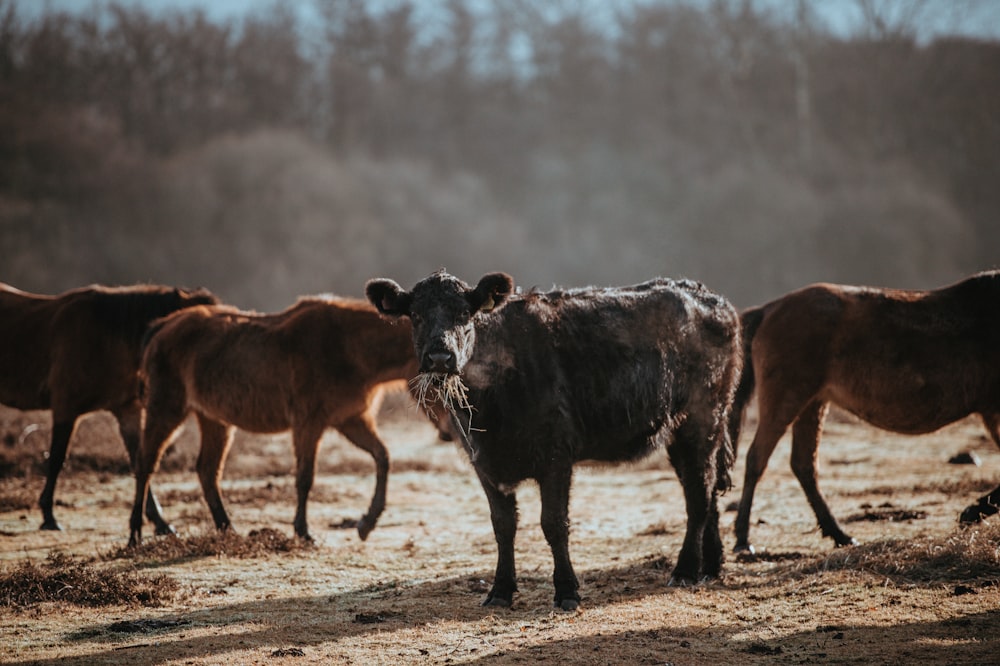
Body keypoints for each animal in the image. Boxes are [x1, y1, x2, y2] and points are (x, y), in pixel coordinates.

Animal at [0, 280, 219, 528]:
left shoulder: (128, 412)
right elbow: (56, 459)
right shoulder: (65, 408)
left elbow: (138, 459)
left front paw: (159, 521)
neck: (105, 339)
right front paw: (49, 516)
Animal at [127, 296, 448, 544]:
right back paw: (137, 534)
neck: (347, 347)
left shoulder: (351, 420)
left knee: (207, 471)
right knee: (145, 465)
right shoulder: (308, 423)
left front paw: (366, 523)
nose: (448, 429)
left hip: (213, 419)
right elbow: (305, 477)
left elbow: (382, 457)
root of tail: (162, 326)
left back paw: (227, 529)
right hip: (166, 410)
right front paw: (303, 531)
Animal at [368, 268, 744, 608]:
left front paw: (566, 590)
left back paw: (684, 570)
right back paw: (710, 566)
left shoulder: (557, 457)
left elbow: (553, 523)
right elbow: (503, 526)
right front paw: (500, 590)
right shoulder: (483, 462)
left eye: (464, 313)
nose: (440, 357)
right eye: (416, 315)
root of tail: (711, 297)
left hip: (702, 418)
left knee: (698, 495)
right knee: (706, 487)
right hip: (681, 431)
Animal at [728, 268, 1000, 552]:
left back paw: (838, 534)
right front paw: (971, 512)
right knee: (757, 459)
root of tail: (769, 309)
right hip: (787, 399)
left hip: (813, 403)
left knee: (803, 465)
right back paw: (743, 540)